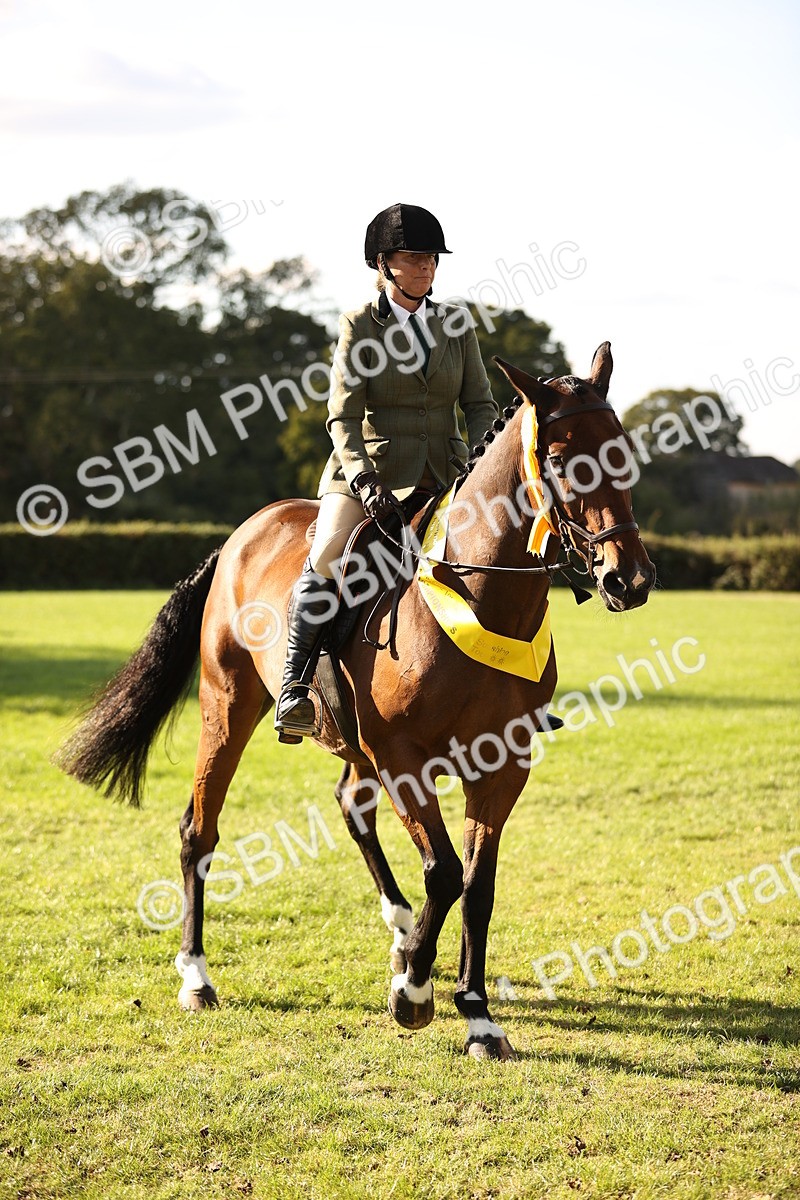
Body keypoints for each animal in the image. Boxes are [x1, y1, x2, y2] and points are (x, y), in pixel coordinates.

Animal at [56, 342, 655, 1060]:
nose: (629, 580)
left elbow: (476, 884)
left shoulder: (502, 764)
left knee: (349, 804)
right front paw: (414, 995)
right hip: (227, 707)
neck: (482, 596)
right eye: (564, 462)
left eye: (623, 451)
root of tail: (242, 534)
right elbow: (444, 871)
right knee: (199, 830)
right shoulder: (403, 756)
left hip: (351, 742)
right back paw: (198, 977)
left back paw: (401, 932)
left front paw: (476, 1014)